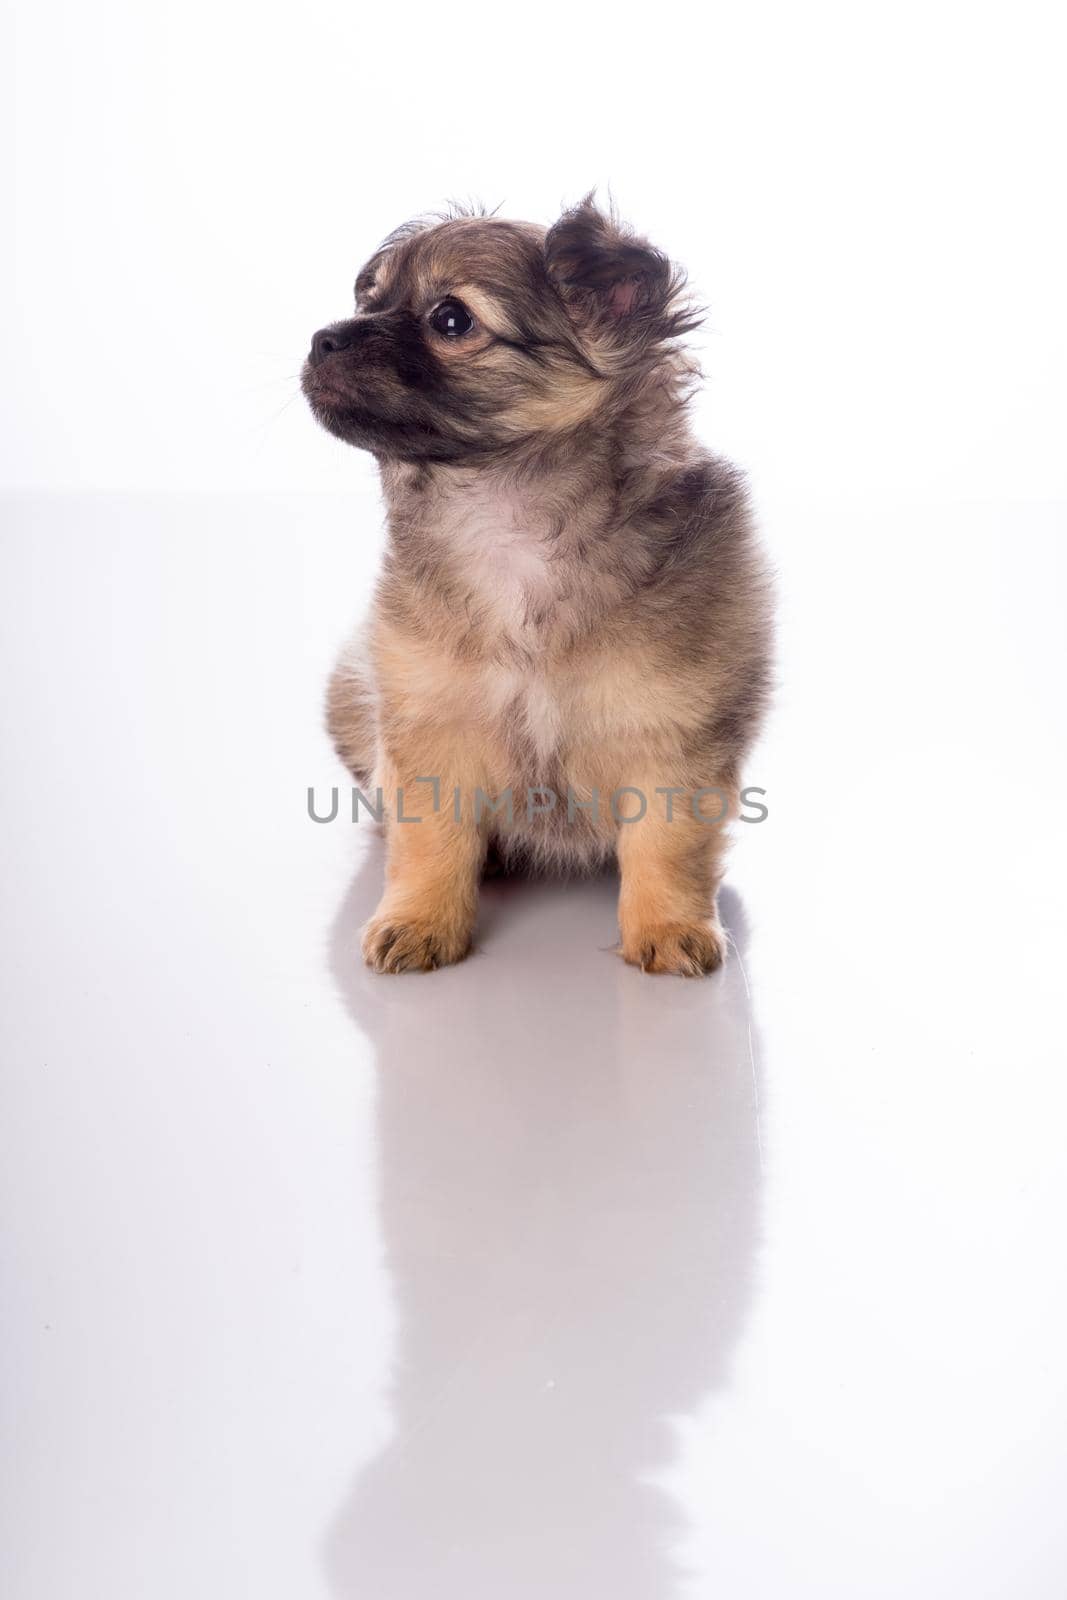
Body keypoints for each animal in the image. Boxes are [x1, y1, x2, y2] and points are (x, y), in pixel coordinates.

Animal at [303, 200, 771, 972]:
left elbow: (668, 842)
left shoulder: (674, 732)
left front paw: (668, 928)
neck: (508, 520)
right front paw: (420, 922)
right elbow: (429, 840)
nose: (323, 339)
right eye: (368, 301)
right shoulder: (431, 725)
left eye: (451, 319)